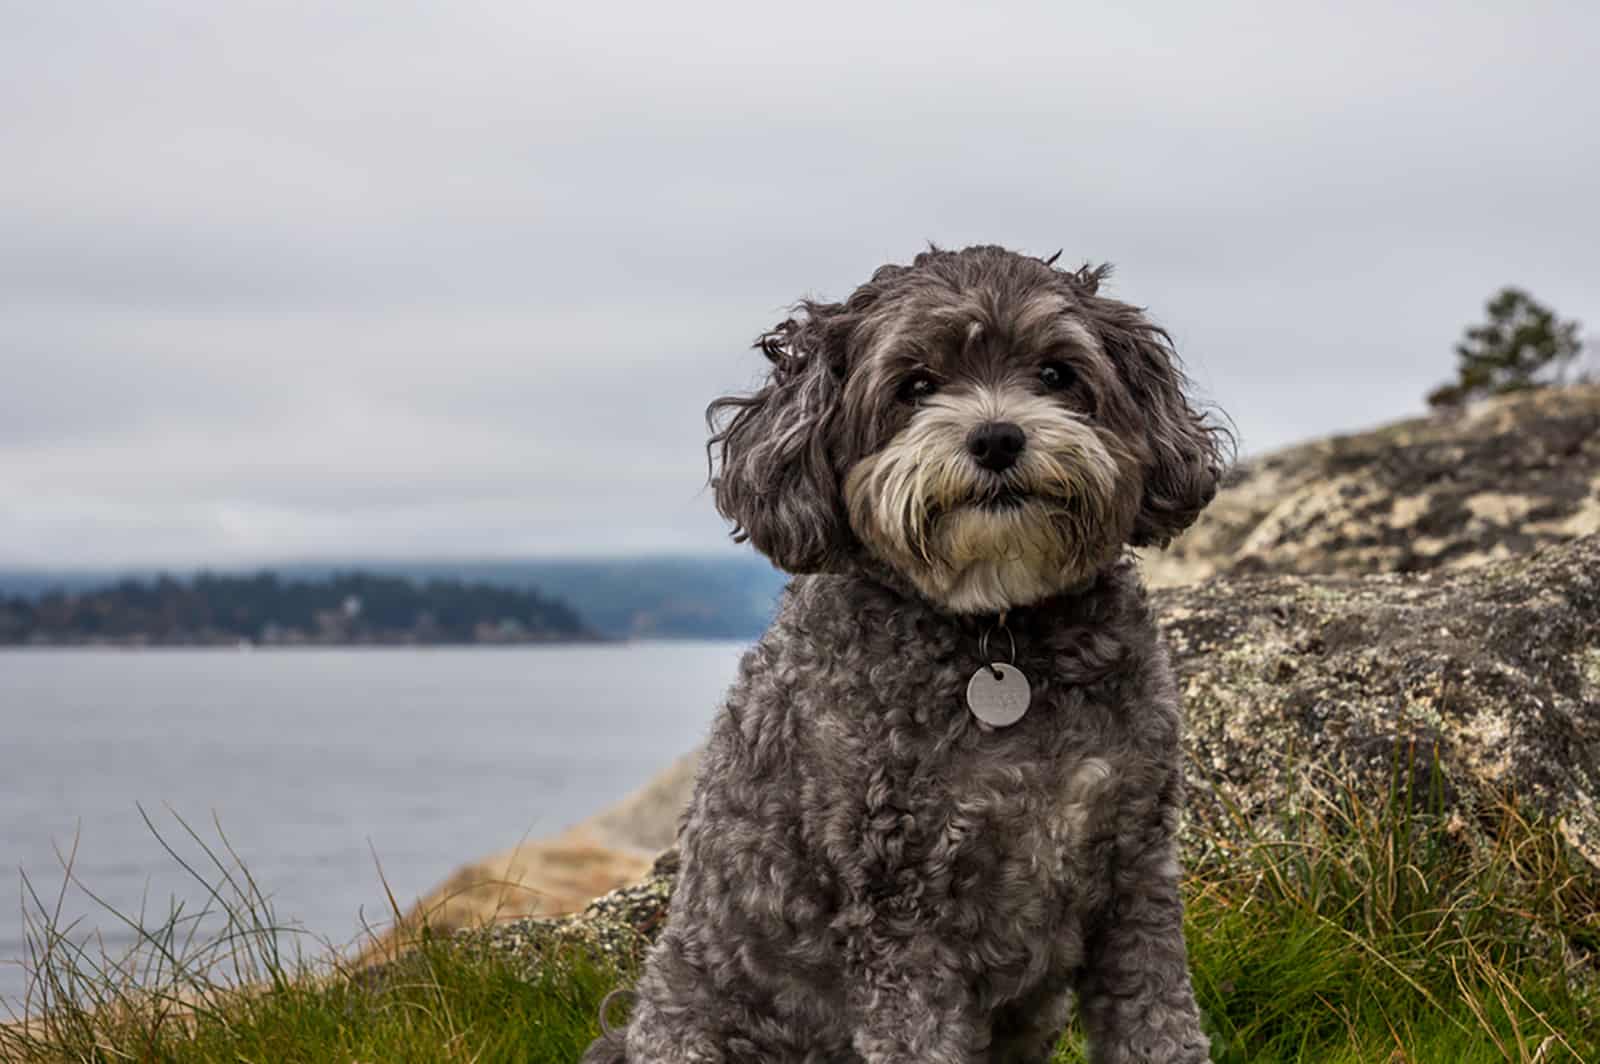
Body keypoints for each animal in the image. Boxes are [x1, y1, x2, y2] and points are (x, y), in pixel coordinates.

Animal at [585, 244, 1222, 1056]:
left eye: (1056, 372)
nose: (997, 437)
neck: (995, 634)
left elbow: (1158, 1025)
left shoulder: (1134, 874)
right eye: (915, 385)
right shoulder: (898, 910)